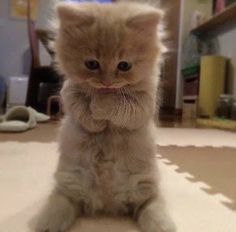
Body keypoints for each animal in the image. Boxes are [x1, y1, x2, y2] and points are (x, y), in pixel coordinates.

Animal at [35, 1, 175, 232]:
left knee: (152, 205)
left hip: (144, 188)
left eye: (124, 65)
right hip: (70, 184)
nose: (107, 82)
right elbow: (84, 113)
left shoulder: (143, 105)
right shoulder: (69, 94)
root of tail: (107, 203)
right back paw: (46, 224)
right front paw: (96, 116)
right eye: (92, 64)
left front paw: (101, 105)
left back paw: (163, 226)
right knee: (61, 201)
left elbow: (117, 105)